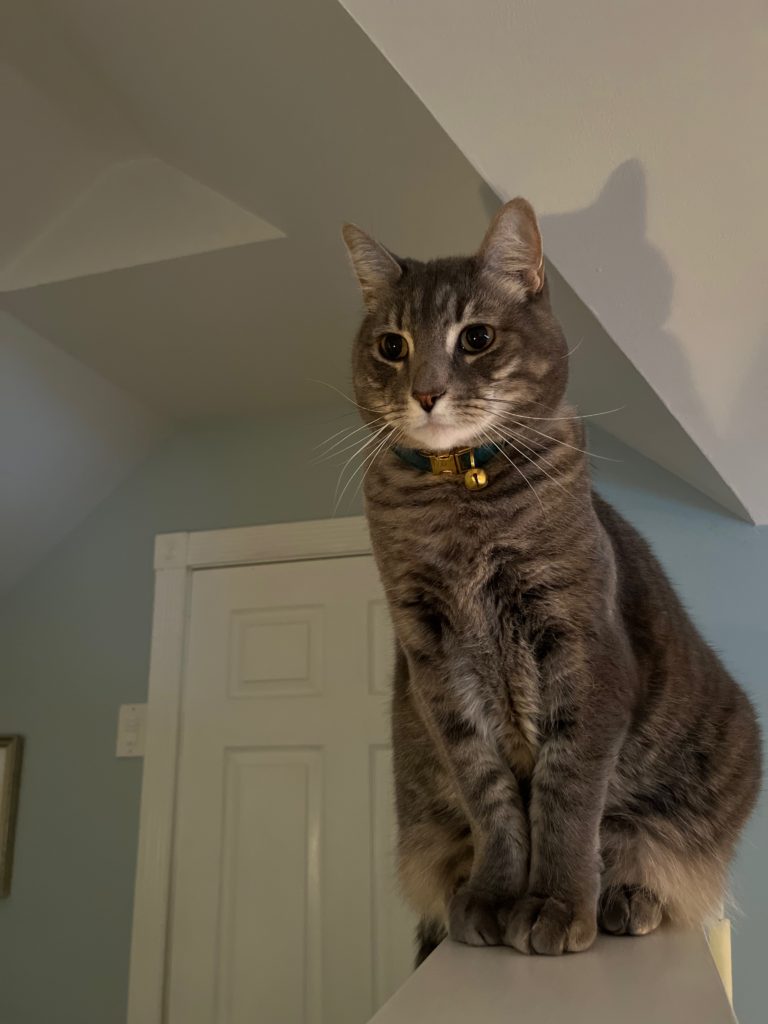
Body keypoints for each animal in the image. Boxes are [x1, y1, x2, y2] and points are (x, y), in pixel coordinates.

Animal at [344, 199, 765, 958]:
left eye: (476, 337)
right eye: (391, 345)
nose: (426, 392)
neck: (464, 505)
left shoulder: (580, 645)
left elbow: (567, 794)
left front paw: (555, 904)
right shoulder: (435, 665)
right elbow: (489, 797)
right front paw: (492, 896)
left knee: (645, 853)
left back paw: (624, 900)